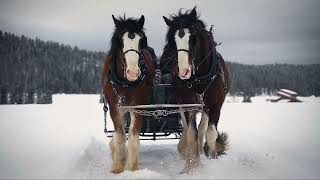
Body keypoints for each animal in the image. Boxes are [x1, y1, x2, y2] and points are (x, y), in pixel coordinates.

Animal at [100, 15, 155, 173]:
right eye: (120, 40)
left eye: (141, 40)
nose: (133, 73)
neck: (126, 83)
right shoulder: (115, 108)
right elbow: (119, 135)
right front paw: (118, 166)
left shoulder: (138, 107)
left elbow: (133, 136)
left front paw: (131, 168)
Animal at [161, 7, 231, 174]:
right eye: (172, 41)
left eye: (193, 38)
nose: (183, 72)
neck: (200, 77)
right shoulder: (187, 104)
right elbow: (191, 134)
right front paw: (191, 167)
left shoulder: (216, 105)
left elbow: (210, 134)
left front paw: (210, 161)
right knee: (189, 131)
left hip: (205, 107)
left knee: (202, 129)